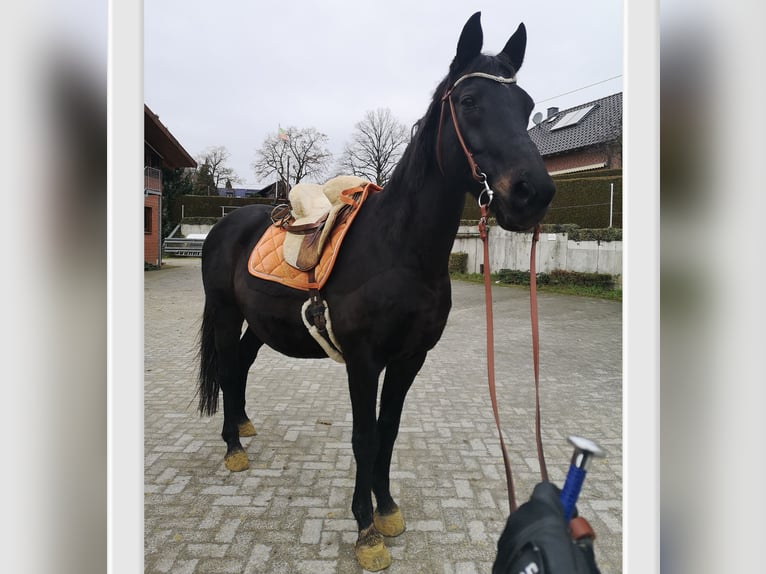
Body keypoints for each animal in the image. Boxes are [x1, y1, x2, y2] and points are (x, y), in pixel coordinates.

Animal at [196, 12, 560, 572]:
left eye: (525, 105)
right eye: (468, 101)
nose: (532, 194)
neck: (398, 250)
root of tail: (226, 223)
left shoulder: (410, 359)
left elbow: (388, 430)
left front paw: (386, 510)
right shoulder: (364, 361)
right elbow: (364, 436)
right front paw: (366, 530)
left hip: (260, 324)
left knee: (239, 365)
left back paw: (244, 426)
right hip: (223, 312)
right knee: (227, 364)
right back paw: (233, 447)